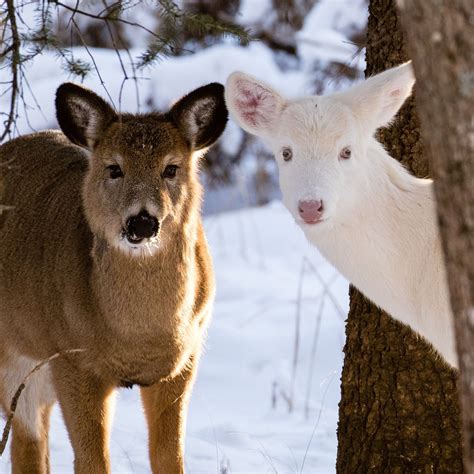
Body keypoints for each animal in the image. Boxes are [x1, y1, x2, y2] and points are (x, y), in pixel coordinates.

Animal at [0, 79, 229, 472]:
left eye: (171, 168)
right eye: (113, 168)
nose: (142, 221)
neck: (137, 337)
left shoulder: (182, 362)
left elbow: (170, 457)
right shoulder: (73, 360)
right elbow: (93, 459)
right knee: (28, 441)